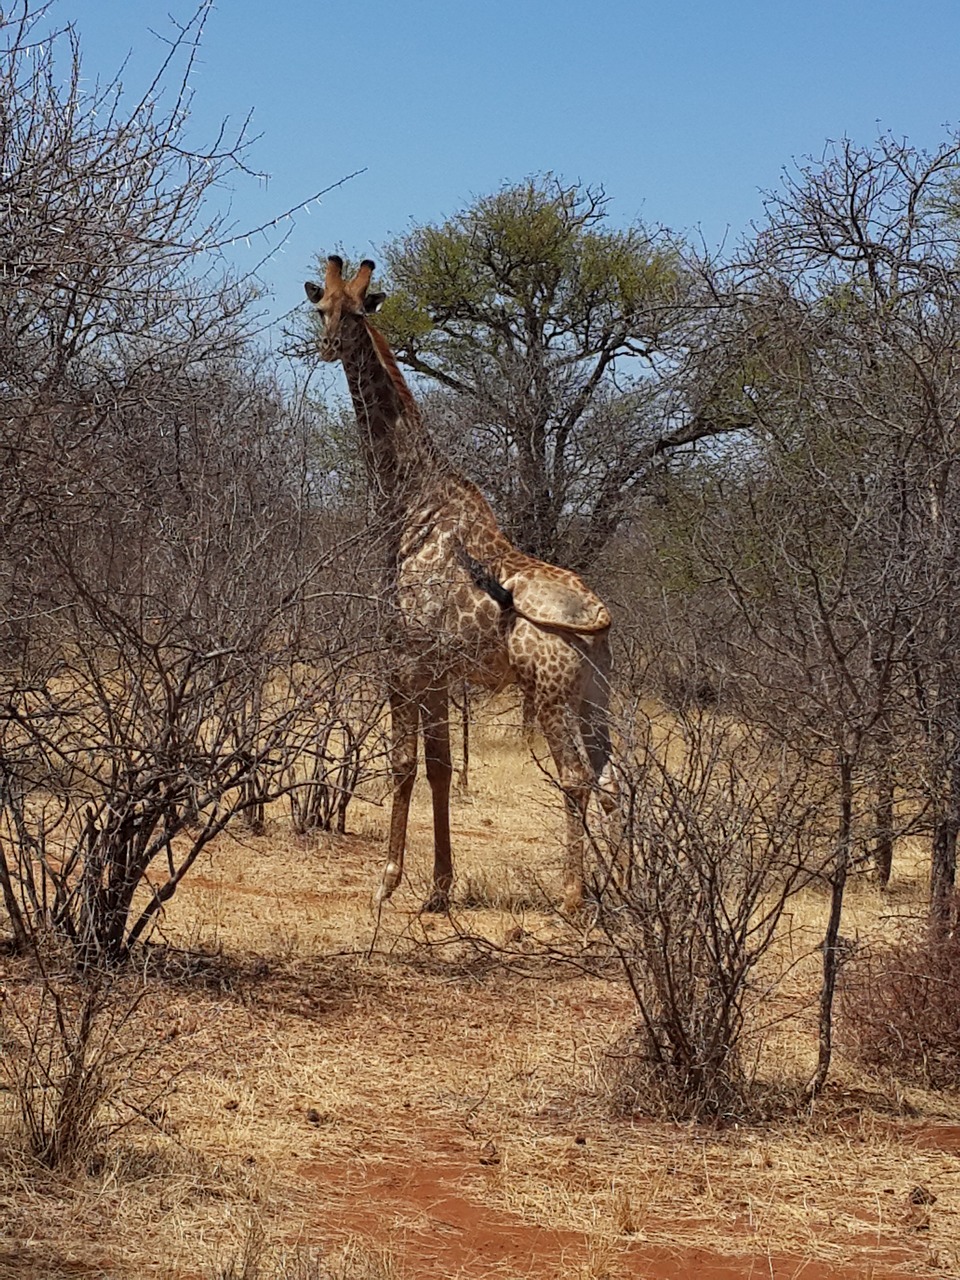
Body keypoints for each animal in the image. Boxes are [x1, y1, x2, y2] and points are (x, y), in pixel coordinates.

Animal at [305, 254, 616, 911]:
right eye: (321, 307)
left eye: (357, 312)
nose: (327, 346)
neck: (408, 506)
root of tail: (598, 617)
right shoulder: (440, 668)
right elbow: (441, 768)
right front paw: (439, 889)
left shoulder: (403, 658)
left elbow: (403, 763)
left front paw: (387, 882)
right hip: (596, 694)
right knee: (610, 778)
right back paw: (622, 889)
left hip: (550, 692)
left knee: (576, 776)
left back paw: (572, 896)